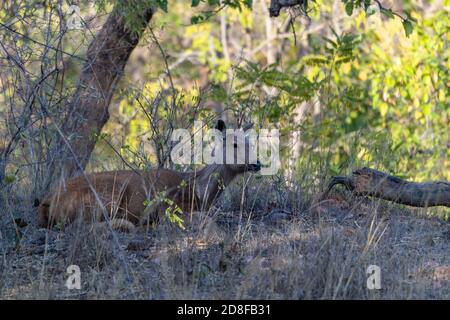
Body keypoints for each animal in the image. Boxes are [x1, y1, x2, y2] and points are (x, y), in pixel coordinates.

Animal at [37, 121, 262, 231]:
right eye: (235, 144)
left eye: (250, 142)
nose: (257, 163)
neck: (199, 191)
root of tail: (47, 201)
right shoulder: (171, 208)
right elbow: (208, 221)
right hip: (105, 195)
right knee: (79, 226)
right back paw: (127, 225)